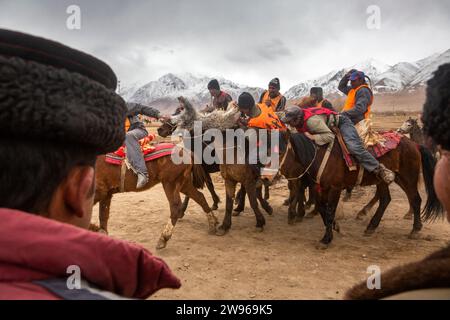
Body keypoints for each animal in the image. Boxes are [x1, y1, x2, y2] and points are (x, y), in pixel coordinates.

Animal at [280, 129, 442, 249]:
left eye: (280, 151)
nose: (279, 172)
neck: (320, 156)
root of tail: (415, 144)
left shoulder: (335, 188)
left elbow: (330, 211)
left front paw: (326, 239)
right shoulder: (321, 188)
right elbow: (322, 209)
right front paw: (335, 227)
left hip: (407, 177)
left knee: (415, 199)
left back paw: (415, 229)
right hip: (386, 179)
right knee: (386, 199)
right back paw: (371, 226)